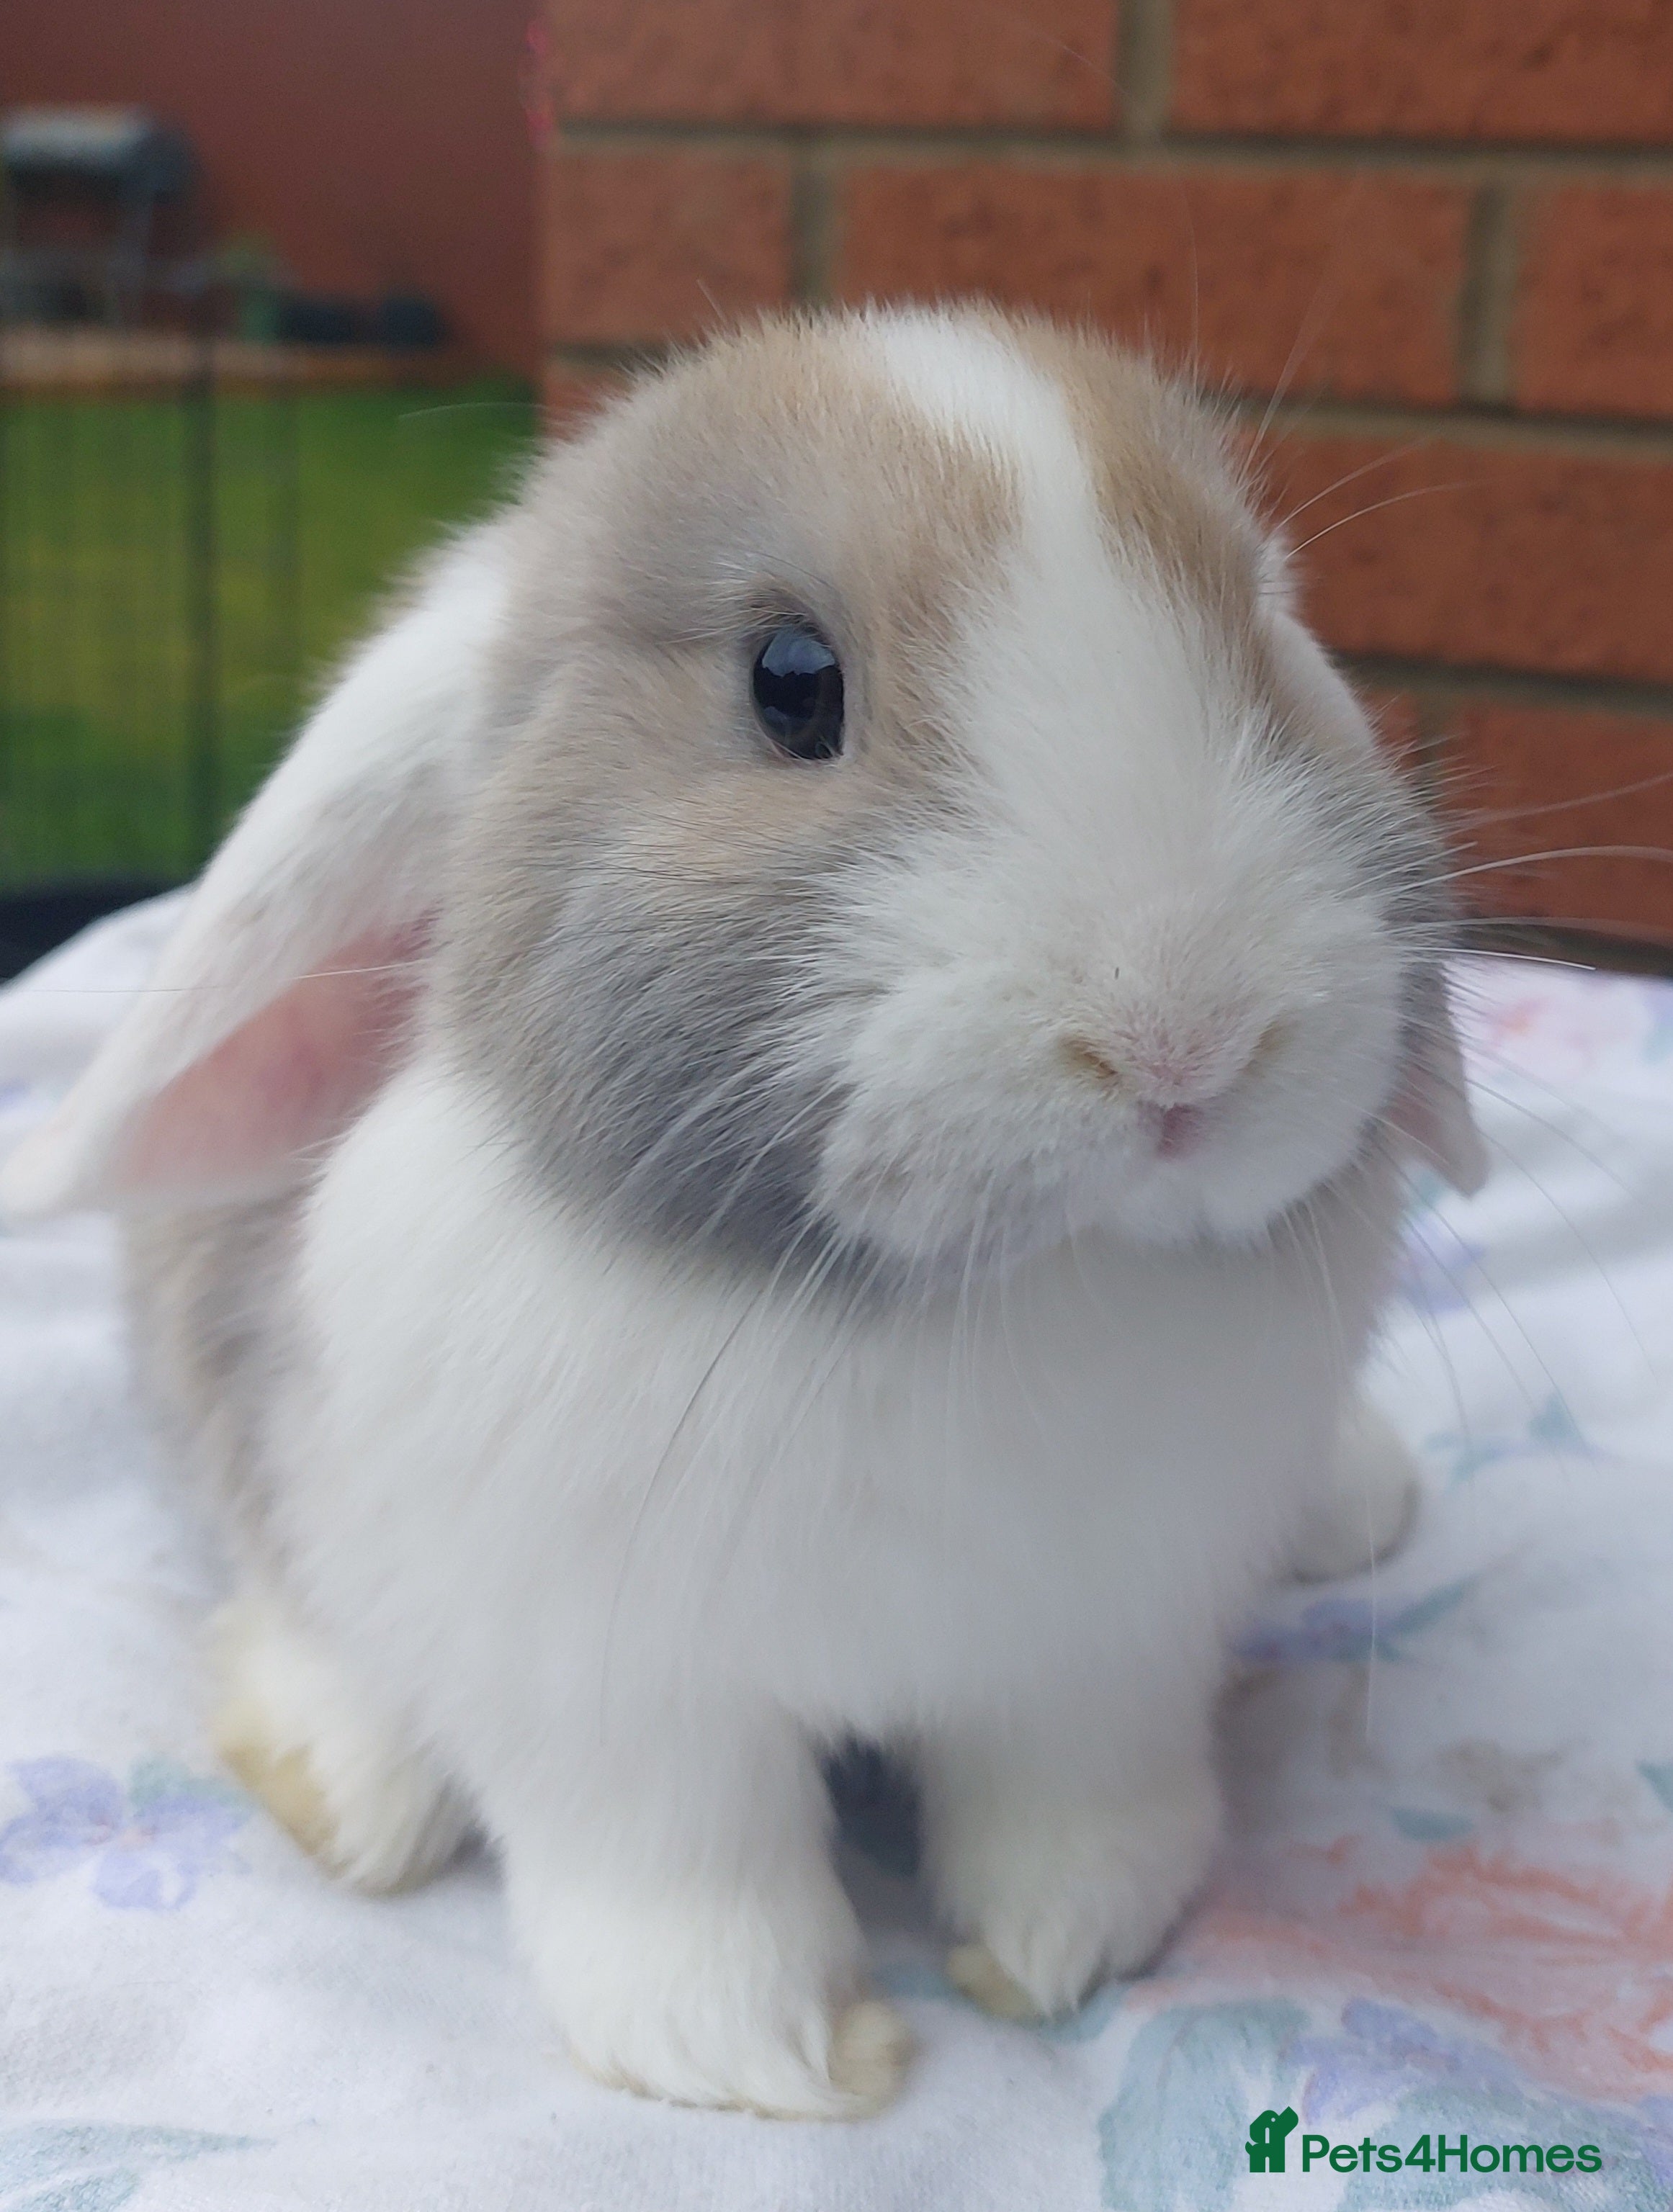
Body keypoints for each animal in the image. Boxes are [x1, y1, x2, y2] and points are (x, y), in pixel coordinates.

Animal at [1, 307, 1484, 2120]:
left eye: (1263, 628)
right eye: (790, 681)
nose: (1183, 1038)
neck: (976, 1302)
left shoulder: (1099, 1649)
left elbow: (1073, 1808)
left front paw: (1067, 1939)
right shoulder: (609, 1691)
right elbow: (685, 1872)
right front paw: (754, 2049)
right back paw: (349, 1784)